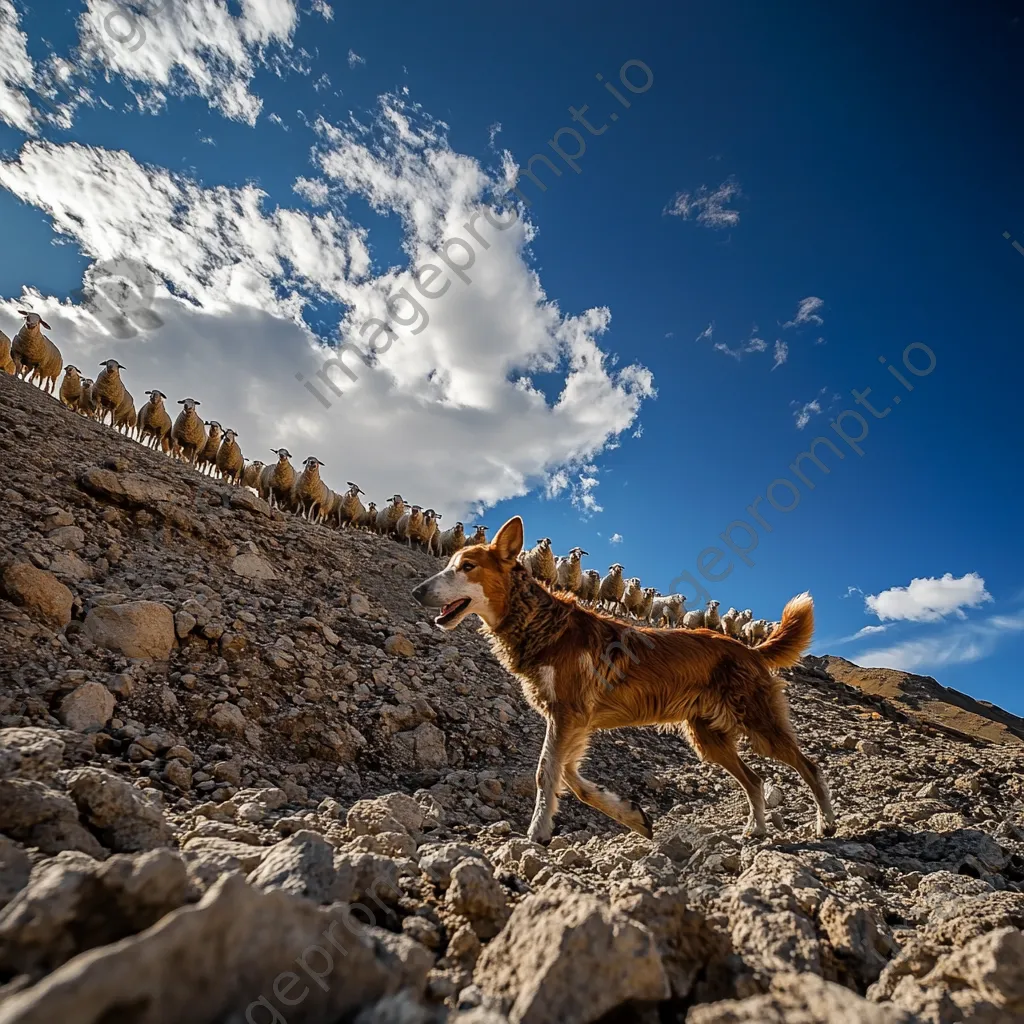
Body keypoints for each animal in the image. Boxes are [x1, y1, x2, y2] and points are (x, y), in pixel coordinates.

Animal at [411, 516, 835, 843]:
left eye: (467, 566)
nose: (416, 591)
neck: (541, 621)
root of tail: (749, 650)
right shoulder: (574, 720)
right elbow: (568, 775)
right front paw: (632, 816)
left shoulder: (567, 714)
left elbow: (547, 771)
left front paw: (537, 832)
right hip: (708, 738)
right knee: (755, 780)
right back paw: (758, 830)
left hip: (758, 723)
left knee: (808, 766)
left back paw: (826, 824)